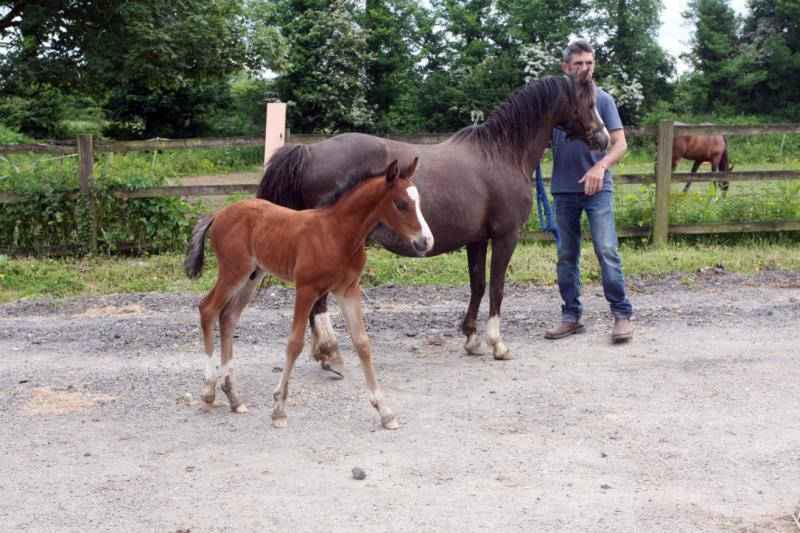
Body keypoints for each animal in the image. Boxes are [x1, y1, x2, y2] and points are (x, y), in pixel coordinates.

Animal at [184, 158, 432, 428]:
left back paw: (234, 398)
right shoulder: (306, 289)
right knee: (207, 309)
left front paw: (385, 411)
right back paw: (209, 393)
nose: (426, 242)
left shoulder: (348, 289)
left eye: (419, 201)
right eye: (401, 204)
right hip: (233, 272)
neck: (338, 234)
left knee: (228, 317)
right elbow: (295, 344)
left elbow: (362, 343)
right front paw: (279, 409)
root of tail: (219, 213)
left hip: (252, 277)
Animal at [260, 67, 608, 370]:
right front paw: (497, 343)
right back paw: (330, 352)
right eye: (589, 101)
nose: (603, 139)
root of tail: (309, 152)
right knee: (317, 300)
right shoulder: (505, 236)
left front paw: (472, 339)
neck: (501, 154)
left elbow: (478, 284)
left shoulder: (477, 239)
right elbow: (497, 287)